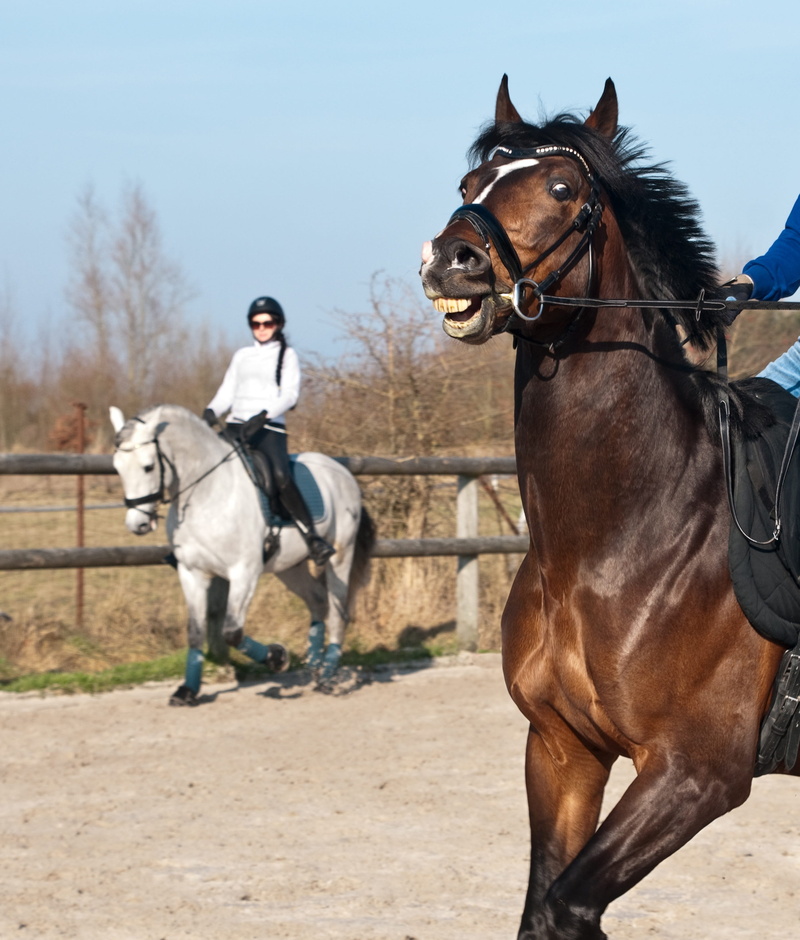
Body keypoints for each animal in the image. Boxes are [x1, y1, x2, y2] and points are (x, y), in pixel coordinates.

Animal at [109, 404, 375, 704]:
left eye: (149, 466)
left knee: (338, 612)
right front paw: (188, 690)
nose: (138, 525)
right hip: (289, 567)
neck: (207, 493)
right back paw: (314, 668)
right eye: (117, 468)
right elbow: (196, 631)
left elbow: (231, 633)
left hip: (340, 555)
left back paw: (327, 678)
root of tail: (343, 472)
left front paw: (277, 657)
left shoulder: (243, 573)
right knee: (317, 601)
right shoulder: (192, 573)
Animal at [420, 76, 800, 939]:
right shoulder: (562, 750)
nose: (452, 261)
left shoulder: (694, 775)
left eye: (564, 189)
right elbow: (542, 906)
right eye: (470, 184)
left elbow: (568, 905)